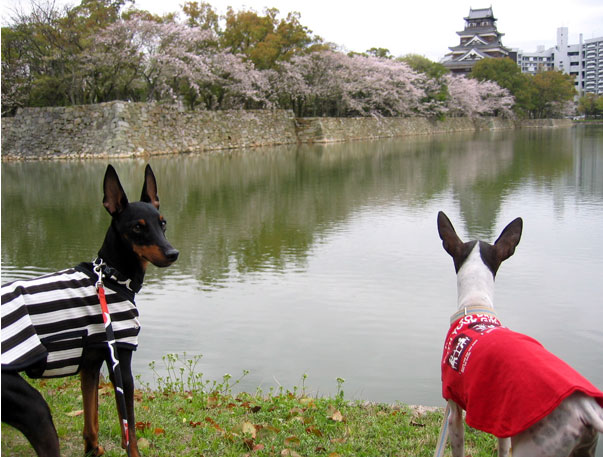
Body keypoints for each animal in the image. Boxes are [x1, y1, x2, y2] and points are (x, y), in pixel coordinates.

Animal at [0, 165, 179, 456]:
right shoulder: (121, 362)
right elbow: (129, 430)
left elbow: (90, 417)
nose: (173, 253)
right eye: (137, 227)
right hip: (34, 410)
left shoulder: (91, 365)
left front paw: (93, 449)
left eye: (162, 223)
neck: (111, 277)